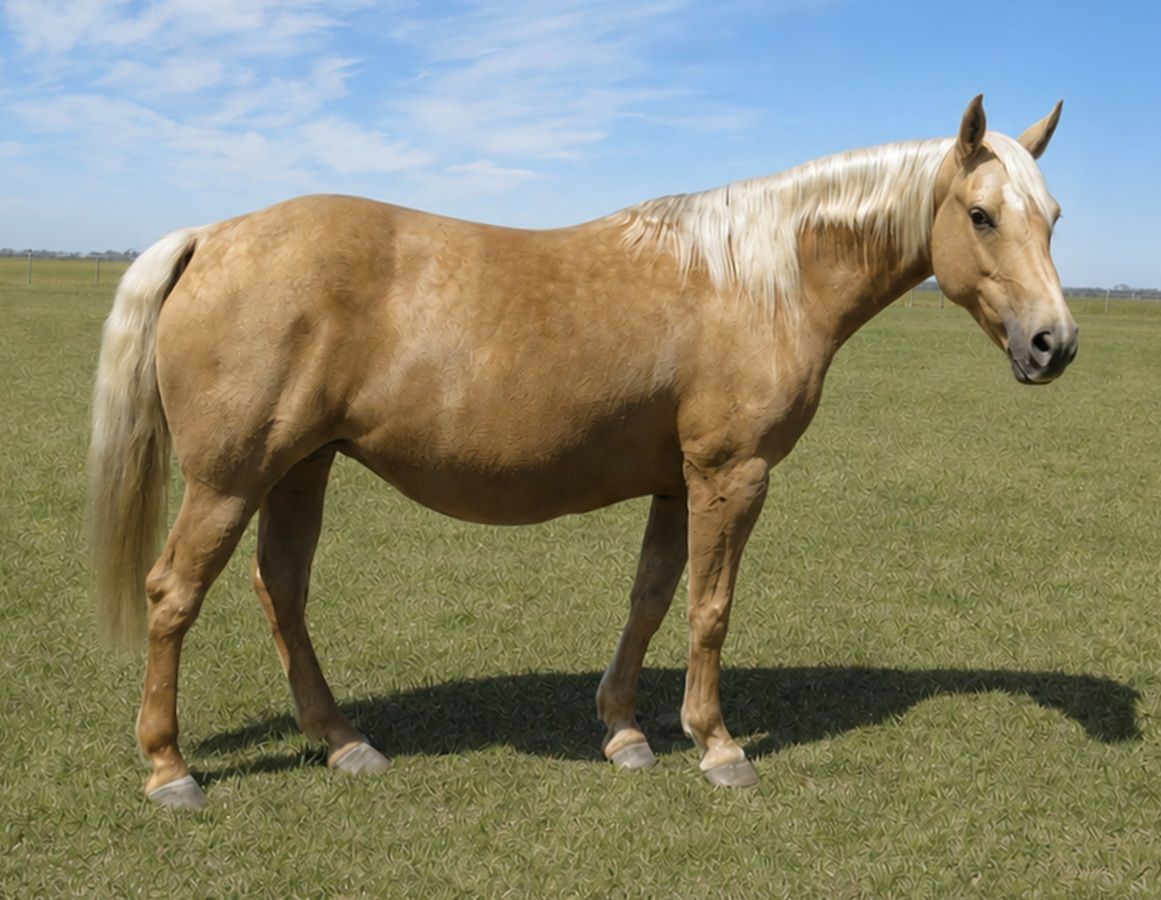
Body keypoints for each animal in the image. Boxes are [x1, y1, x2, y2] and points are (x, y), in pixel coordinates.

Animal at [88, 96, 1076, 808]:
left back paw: (344, 742)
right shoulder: (732, 475)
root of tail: (211, 236)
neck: (761, 279)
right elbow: (709, 610)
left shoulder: (679, 485)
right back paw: (170, 769)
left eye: (1053, 216)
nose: (1052, 344)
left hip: (301, 465)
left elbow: (650, 602)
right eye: (980, 215)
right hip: (231, 479)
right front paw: (718, 746)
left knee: (282, 591)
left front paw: (624, 732)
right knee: (175, 595)